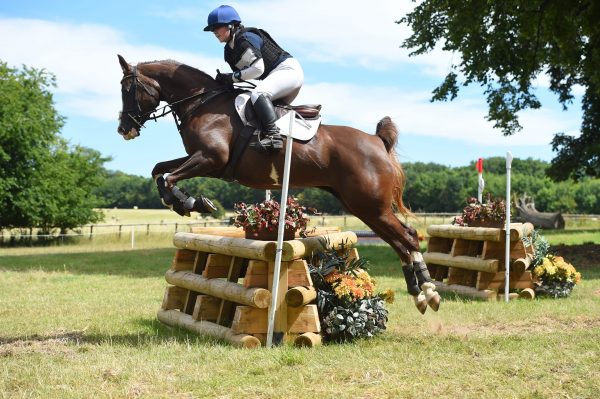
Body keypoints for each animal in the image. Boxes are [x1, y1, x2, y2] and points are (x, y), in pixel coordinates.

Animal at [116, 54, 440, 314]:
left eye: (127, 89)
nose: (124, 129)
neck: (201, 102)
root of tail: (376, 140)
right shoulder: (206, 161)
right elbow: (159, 171)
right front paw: (188, 202)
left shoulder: (210, 158)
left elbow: (169, 177)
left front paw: (191, 203)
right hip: (363, 207)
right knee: (401, 241)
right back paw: (419, 294)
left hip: (371, 206)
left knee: (409, 237)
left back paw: (429, 292)